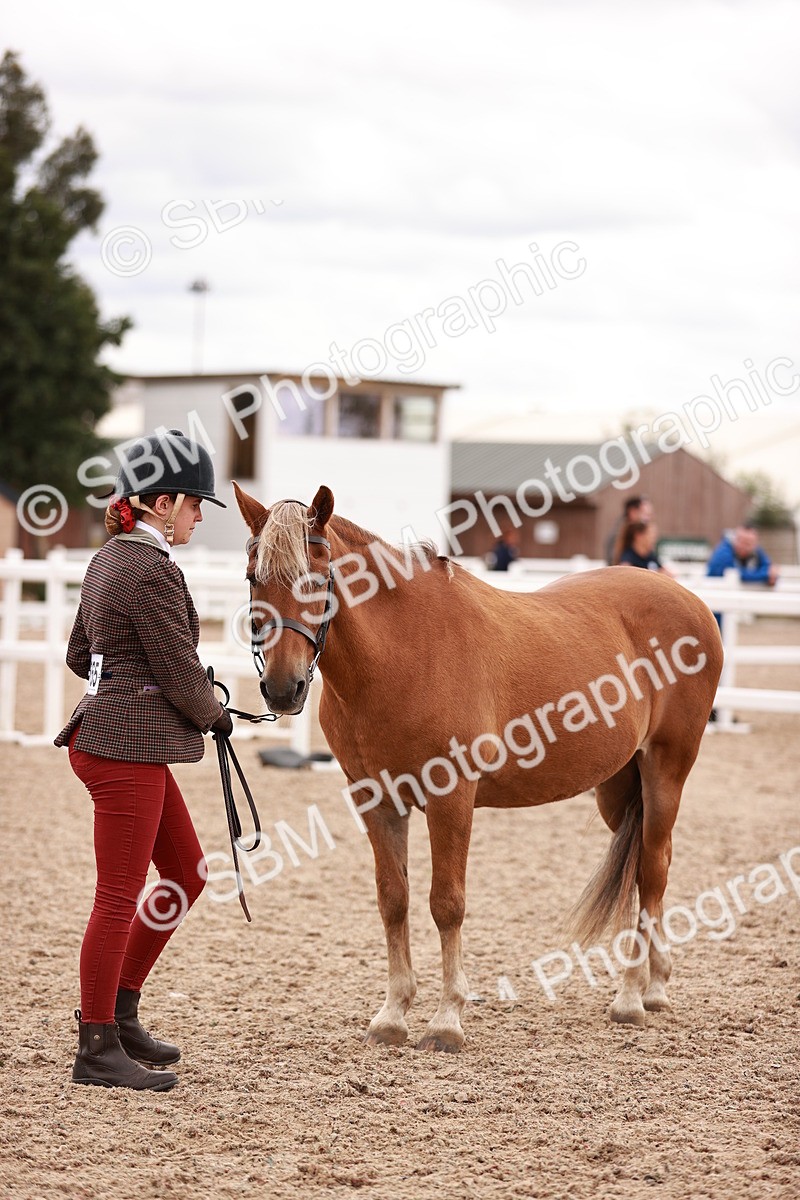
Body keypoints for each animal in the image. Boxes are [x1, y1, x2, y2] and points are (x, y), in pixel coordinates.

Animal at [233, 482, 723, 1052]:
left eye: (315, 578)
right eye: (254, 578)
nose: (282, 688)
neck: (404, 652)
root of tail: (691, 602)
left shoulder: (451, 799)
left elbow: (446, 903)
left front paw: (447, 1020)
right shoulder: (376, 799)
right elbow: (393, 899)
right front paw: (393, 1014)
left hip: (665, 772)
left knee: (653, 869)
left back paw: (633, 997)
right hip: (618, 789)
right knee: (646, 870)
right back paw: (652, 984)